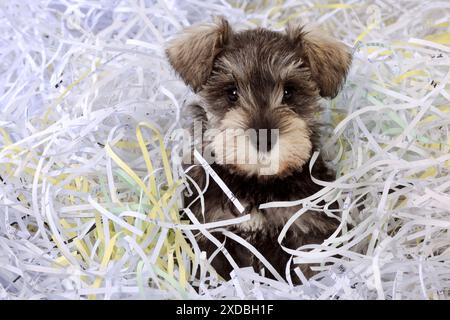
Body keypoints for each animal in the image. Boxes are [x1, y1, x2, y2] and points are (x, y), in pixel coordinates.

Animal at [165, 17, 352, 282]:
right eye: (231, 92)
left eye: (289, 92)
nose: (264, 140)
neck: (257, 183)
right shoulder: (210, 235)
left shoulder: (309, 232)